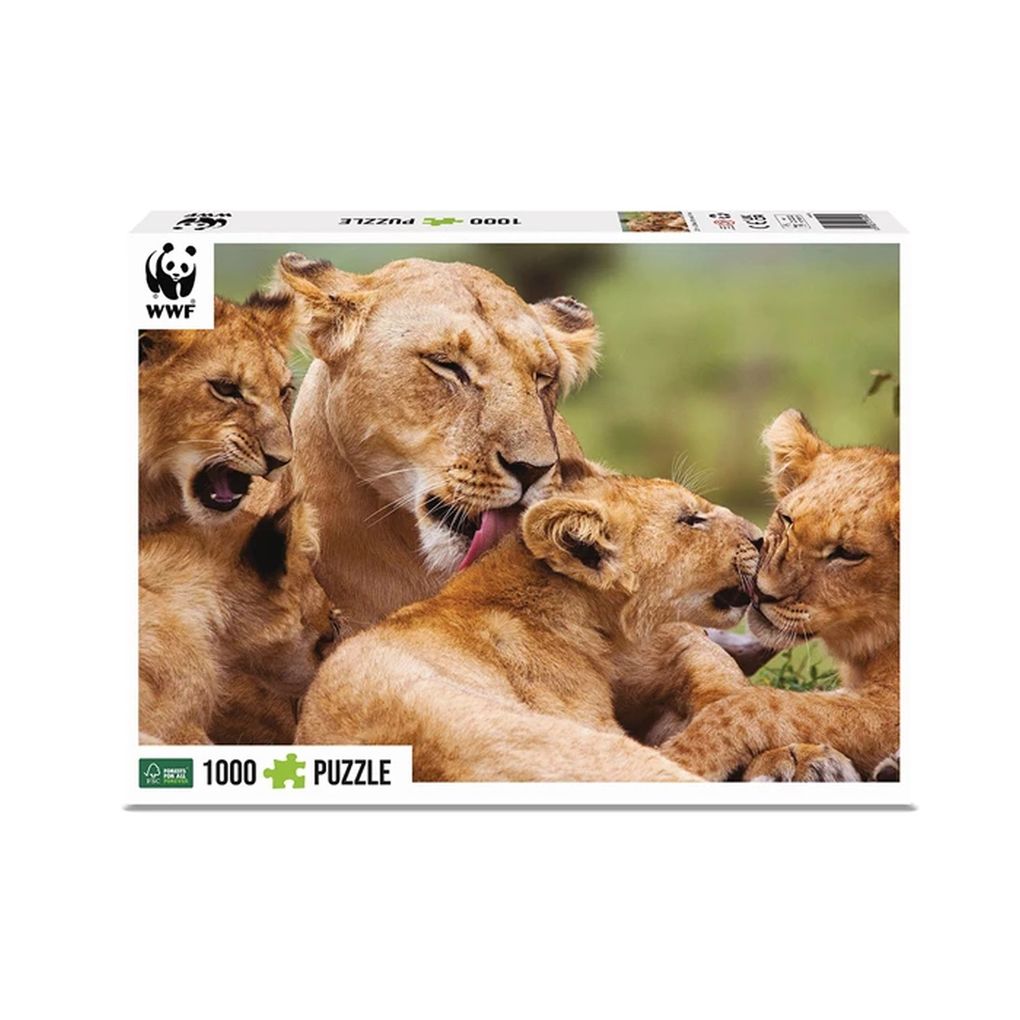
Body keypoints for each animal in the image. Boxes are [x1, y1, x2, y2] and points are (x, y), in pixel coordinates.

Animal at [656, 410, 899, 781]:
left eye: (848, 553)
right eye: (786, 519)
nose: (761, 591)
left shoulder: (891, 709)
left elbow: (762, 705)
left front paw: (679, 756)